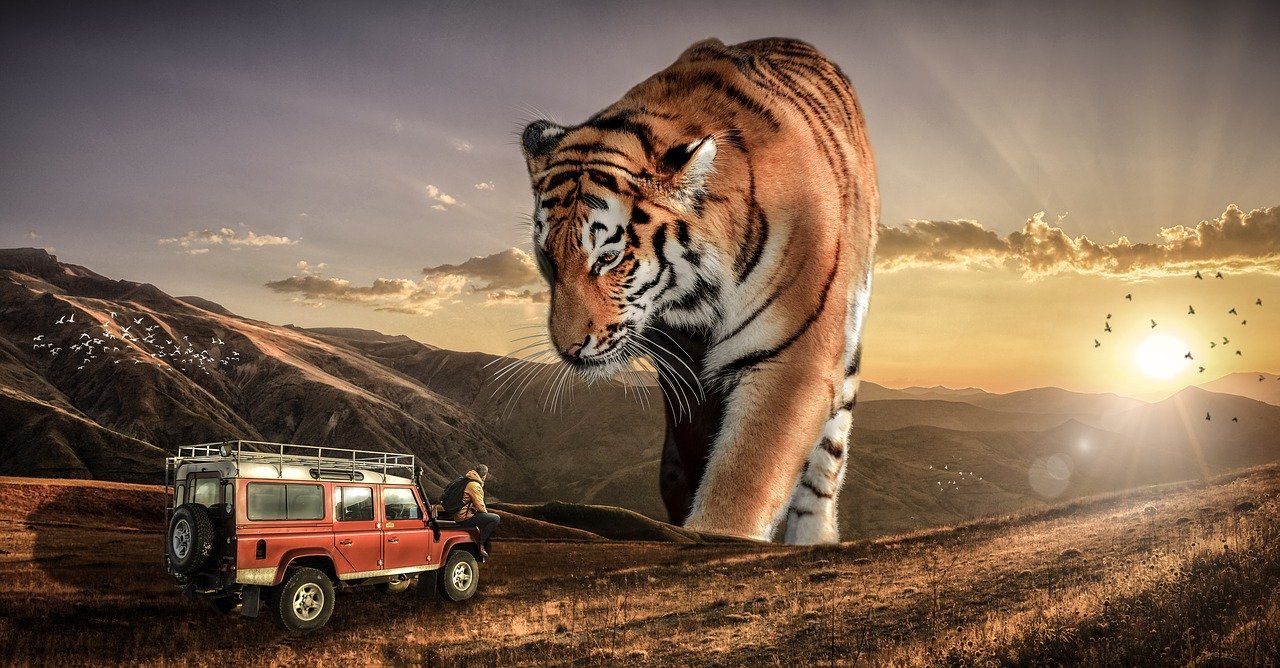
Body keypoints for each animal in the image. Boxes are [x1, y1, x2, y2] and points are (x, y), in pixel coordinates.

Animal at [519, 37, 878, 544]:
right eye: (549, 259)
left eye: (607, 257)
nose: (568, 348)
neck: (691, 303)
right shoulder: (684, 376)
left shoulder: (793, 357)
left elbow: (746, 476)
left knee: (825, 465)